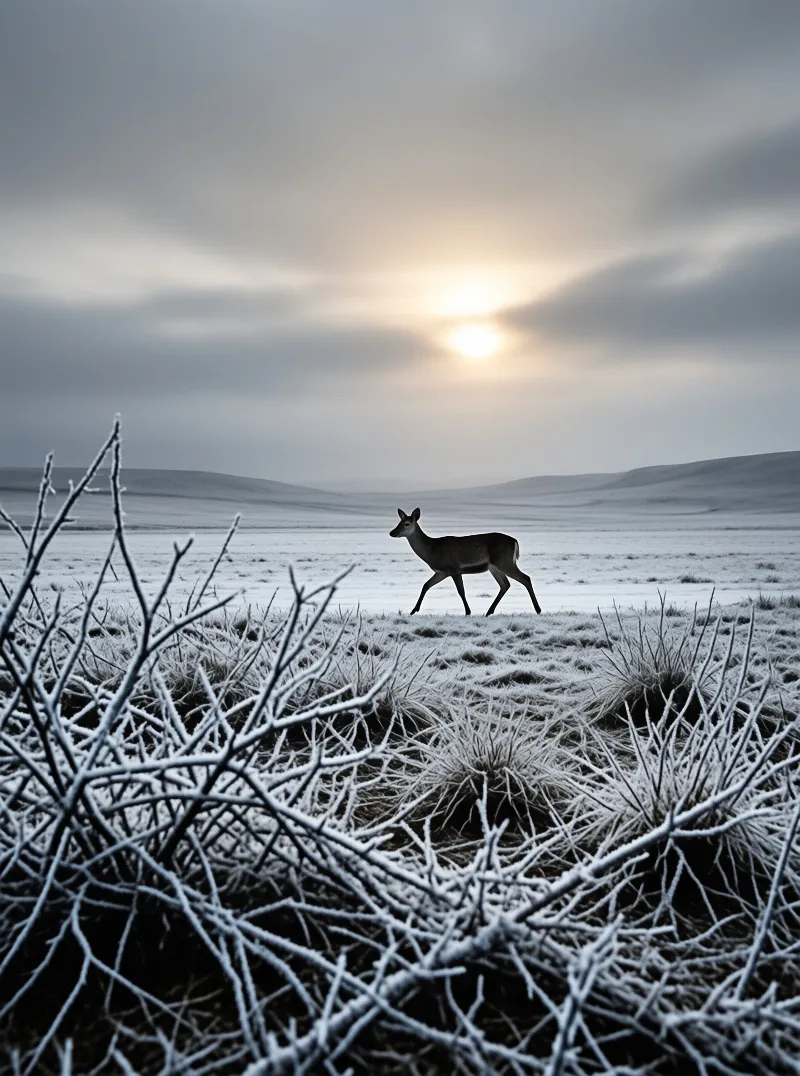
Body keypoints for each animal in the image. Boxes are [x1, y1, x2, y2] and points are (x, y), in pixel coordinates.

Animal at [389, 508, 541, 616]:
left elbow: (461, 590)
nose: (392, 532)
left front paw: (468, 611)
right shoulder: (441, 572)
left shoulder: (453, 568)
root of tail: (514, 541)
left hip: (504, 562)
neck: (432, 550)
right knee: (505, 584)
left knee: (525, 578)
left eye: (407, 524)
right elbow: (426, 585)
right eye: (399, 522)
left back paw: (538, 609)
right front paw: (413, 610)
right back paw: (489, 611)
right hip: (494, 567)